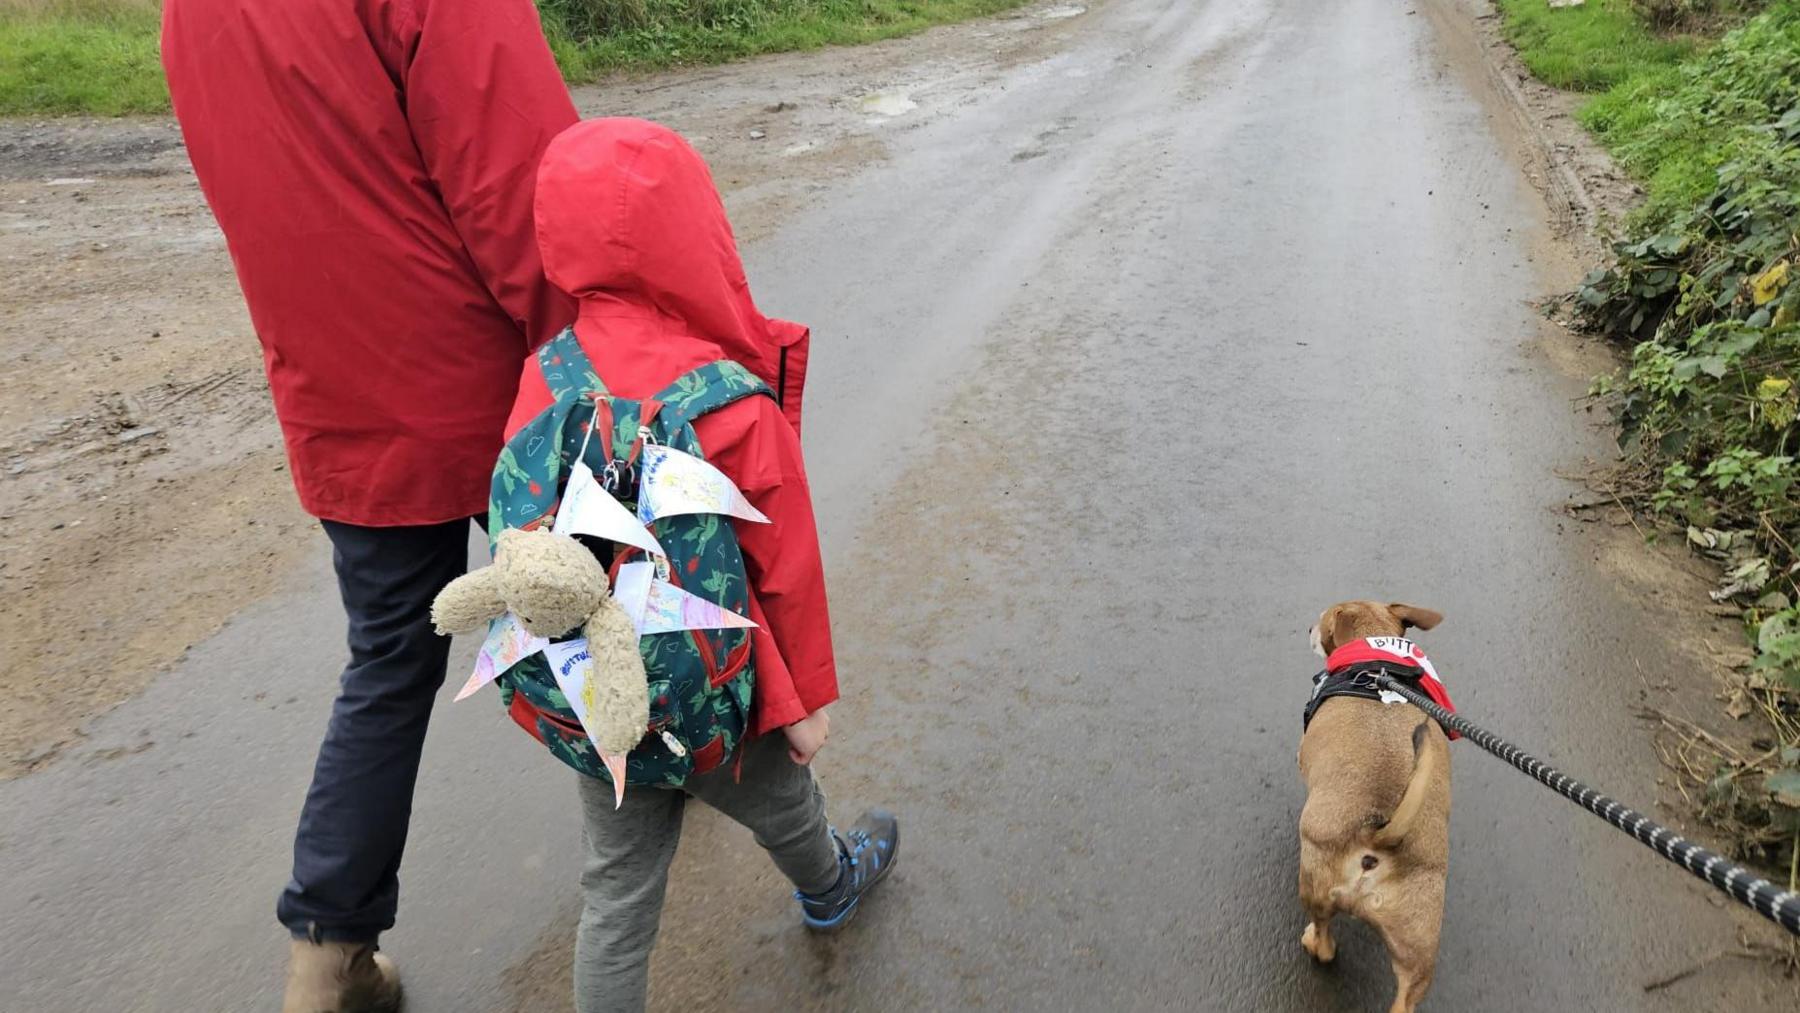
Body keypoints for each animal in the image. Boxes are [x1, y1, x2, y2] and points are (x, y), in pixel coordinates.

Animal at [1296, 600, 1447, 1013]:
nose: (1307, 628)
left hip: (1313, 881)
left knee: (1325, 940)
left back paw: (1313, 941)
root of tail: (1379, 834)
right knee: (1405, 999)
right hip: (1418, 944)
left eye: (1323, 621)